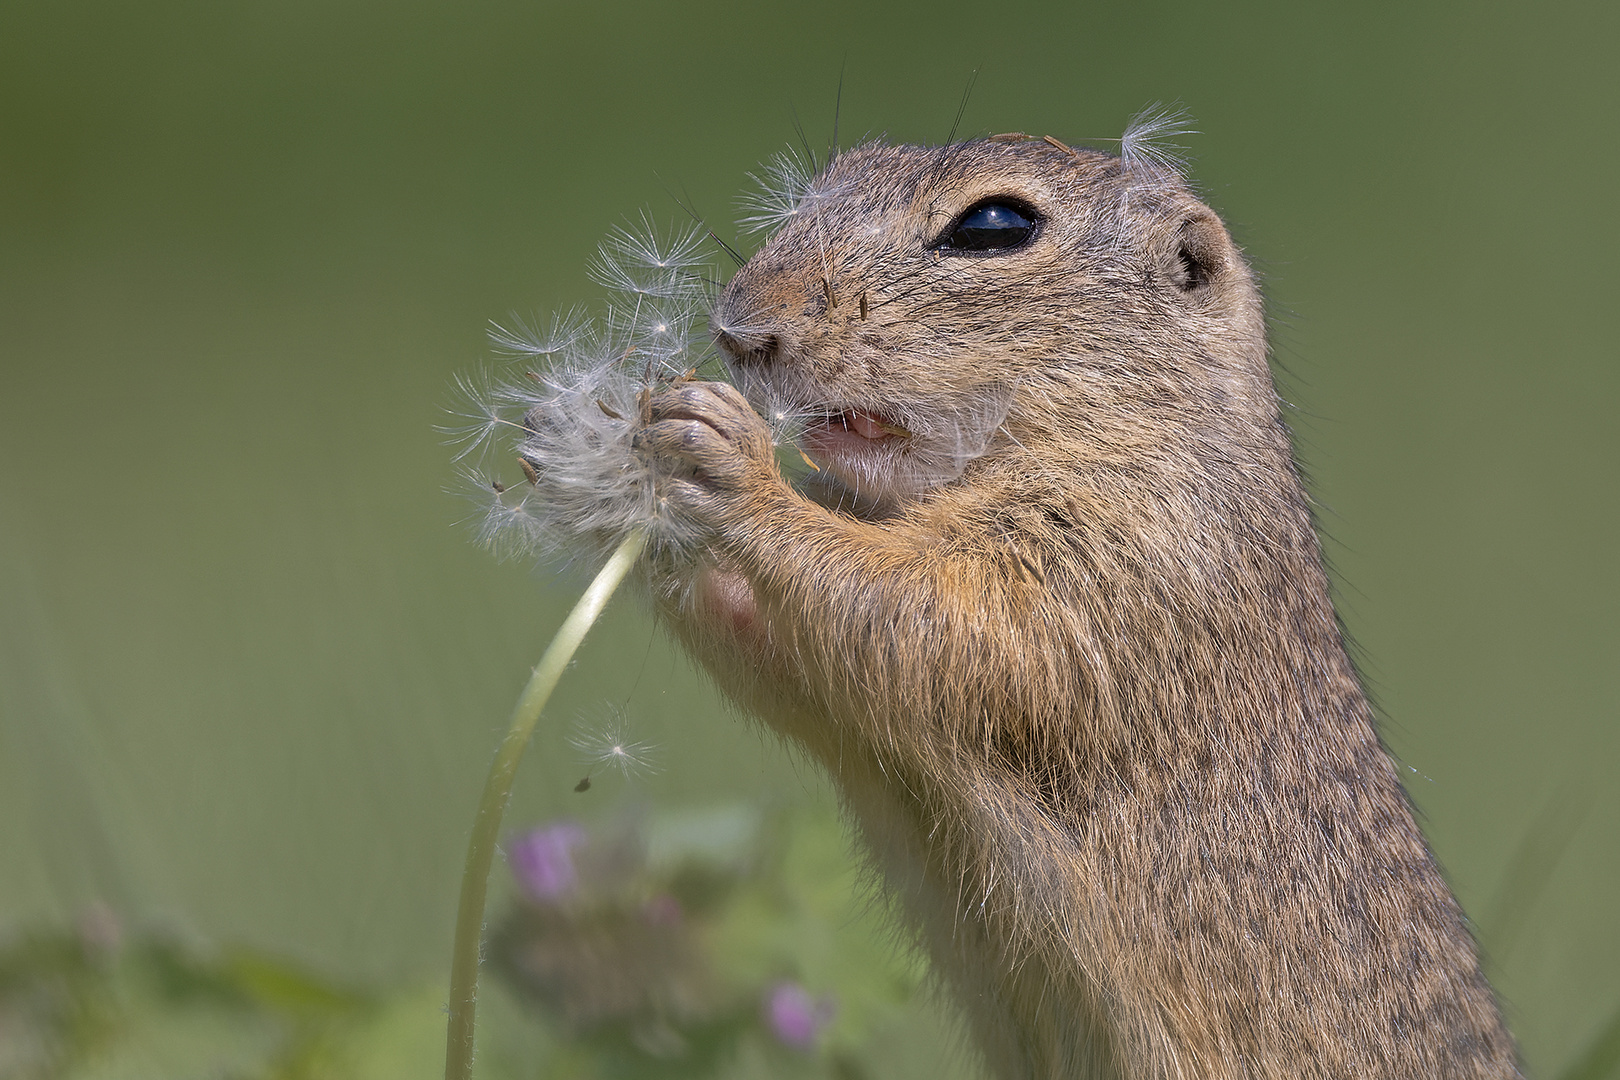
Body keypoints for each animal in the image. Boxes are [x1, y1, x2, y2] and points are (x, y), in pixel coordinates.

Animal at [612, 128, 1509, 1080]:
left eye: (995, 225)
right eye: (835, 172)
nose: (739, 328)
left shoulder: (1130, 552)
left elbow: (946, 617)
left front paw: (729, 459)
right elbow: (797, 661)